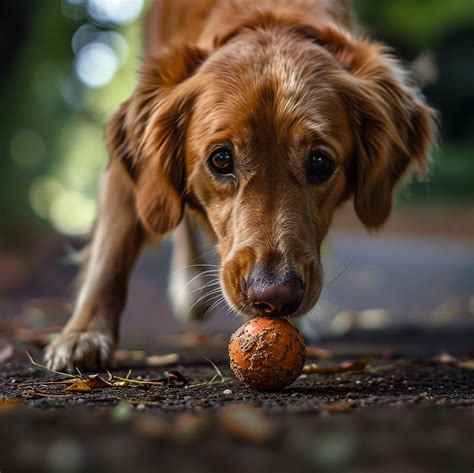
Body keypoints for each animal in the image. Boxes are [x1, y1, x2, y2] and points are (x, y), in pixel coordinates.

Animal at [43, 0, 434, 368]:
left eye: (320, 163)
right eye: (221, 159)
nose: (275, 297)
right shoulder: (130, 173)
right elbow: (111, 251)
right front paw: (84, 335)